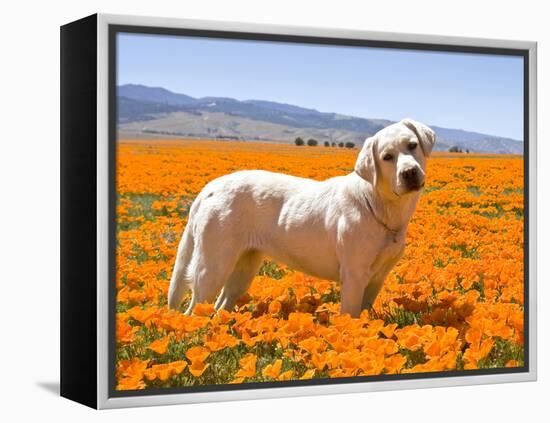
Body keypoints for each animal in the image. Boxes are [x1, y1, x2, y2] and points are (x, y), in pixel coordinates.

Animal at [168, 117, 436, 316]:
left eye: (412, 145)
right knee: (194, 309)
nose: (409, 173)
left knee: (221, 305)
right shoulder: (354, 276)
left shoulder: (377, 278)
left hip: (243, 269)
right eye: (387, 157)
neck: (378, 204)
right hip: (212, 268)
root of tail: (211, 186)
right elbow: (351, 316)